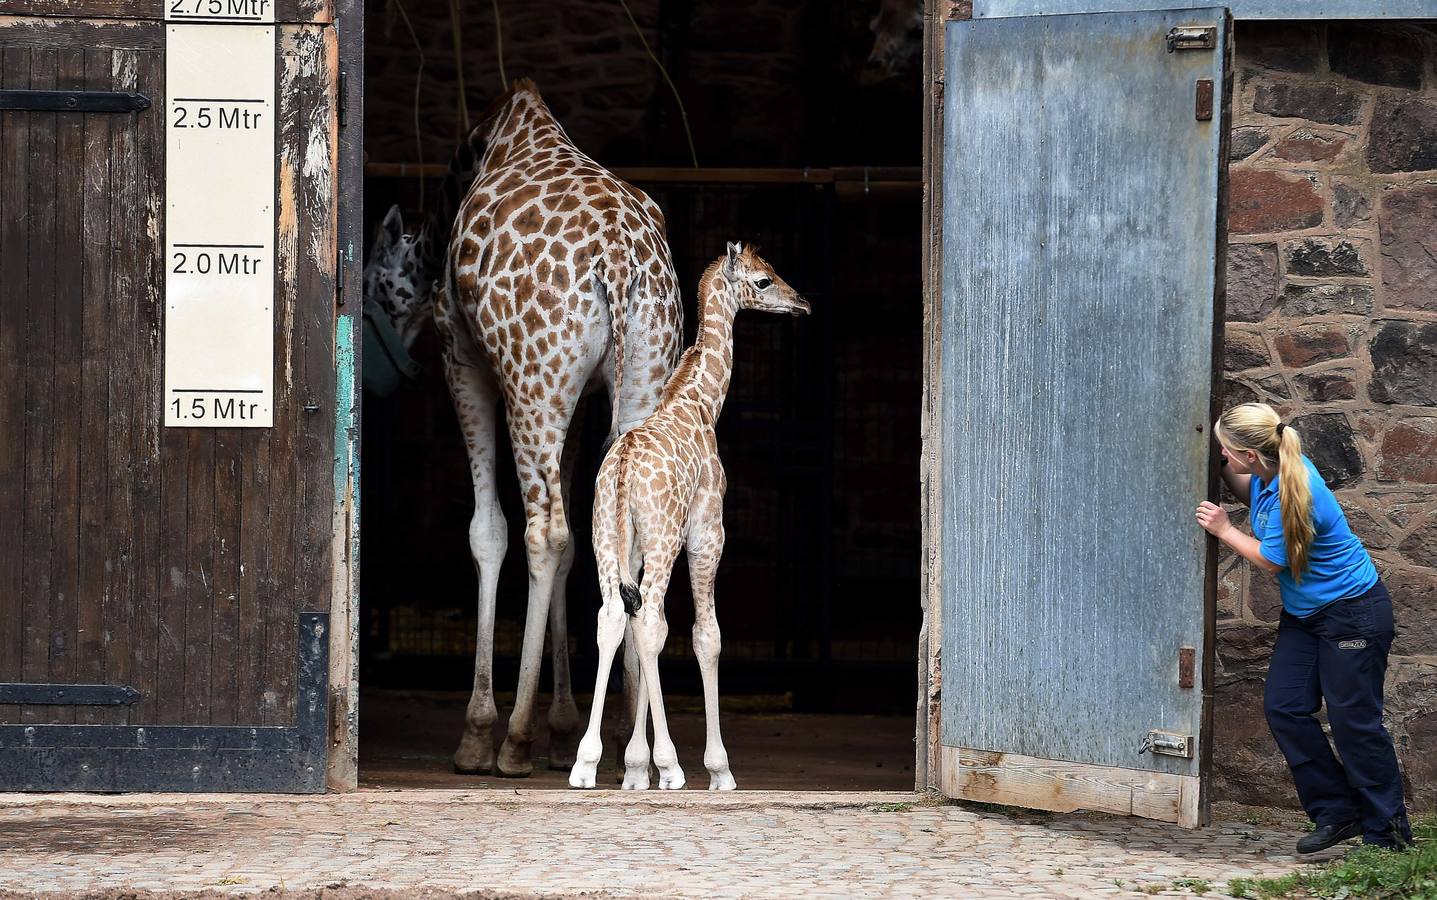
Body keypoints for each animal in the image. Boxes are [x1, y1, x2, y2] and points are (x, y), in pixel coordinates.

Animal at [566, 242, 810, 782]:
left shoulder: (635, 549)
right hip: (663, 540)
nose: (801, 303)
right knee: (650, 620)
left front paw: (635, 771)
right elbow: (705, 636)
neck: (700, 403)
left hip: (605, 538)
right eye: (763, 281)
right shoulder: (707, 532)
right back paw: (674, 767)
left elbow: (639, 630)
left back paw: (587, 764)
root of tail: (623, 469)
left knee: (613, 616)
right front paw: (715, 770)